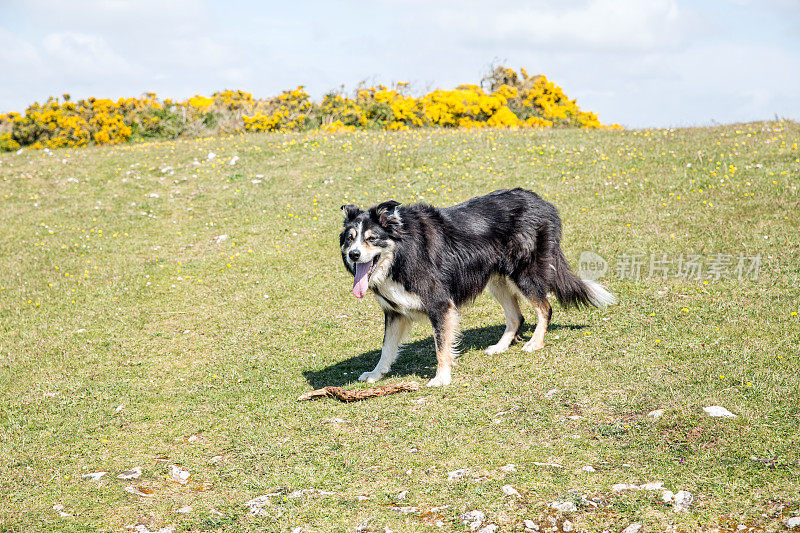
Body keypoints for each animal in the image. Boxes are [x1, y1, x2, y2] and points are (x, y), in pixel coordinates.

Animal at [340, 187, 616, 386]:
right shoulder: (394, 311)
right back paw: (500, 347)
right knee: (516, 317)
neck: (400, 254)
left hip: (523, 273)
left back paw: (535, 343)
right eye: (350, 239)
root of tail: (542, 203)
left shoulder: (440, 305)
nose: (353, 255)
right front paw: (376, 374)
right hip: (498, 281)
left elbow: (441, 346)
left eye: (372, 238)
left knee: (544, 307)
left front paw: (442, 378)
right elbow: (387, 347)